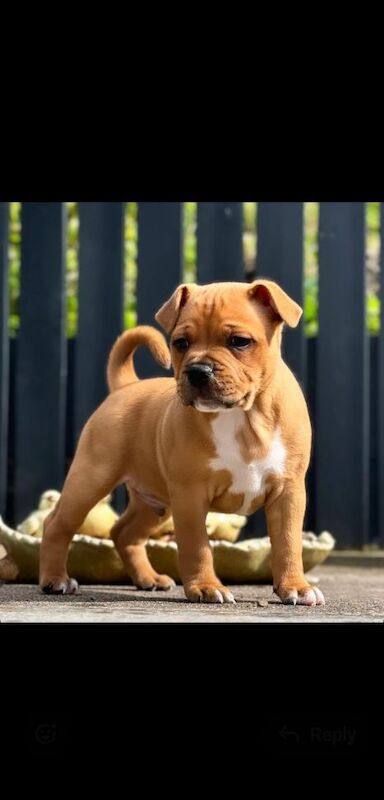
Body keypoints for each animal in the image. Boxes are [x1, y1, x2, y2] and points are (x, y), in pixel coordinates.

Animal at [40, 282, 326, 608]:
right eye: (180, 343)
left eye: (239, 342)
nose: (198, 370)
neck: (243, 416)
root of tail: (126, 386)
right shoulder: (190, 495)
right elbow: (196, 546)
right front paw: (206, 587)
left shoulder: (288, 492)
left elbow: (288, 543)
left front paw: (296, 587)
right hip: (90, 479)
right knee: (57, 524)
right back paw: (55, 579)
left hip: (155, 503)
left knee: (124, 532)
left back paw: (148, 578)